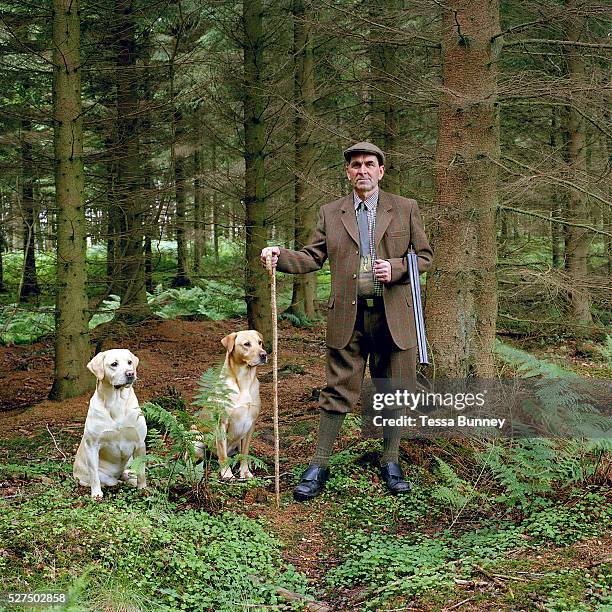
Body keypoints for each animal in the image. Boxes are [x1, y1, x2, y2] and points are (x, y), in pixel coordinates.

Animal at [72, 350, 146, 498]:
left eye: (130, 362)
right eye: (114, 364)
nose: (130, 373)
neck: (117, 402)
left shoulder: (140, 442)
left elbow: (141, 471)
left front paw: (143, 489)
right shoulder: (92, 445)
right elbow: (94, 474)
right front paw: (96, 494)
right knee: (110, 481)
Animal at [194, 332, 266, 480]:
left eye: (260, 342)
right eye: (246, 344)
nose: (264, 354)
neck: (245, 381)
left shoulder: (251, 425)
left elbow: (245, 453)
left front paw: (245, 472)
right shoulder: (221, 423)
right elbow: (223, 455)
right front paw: (227, 473)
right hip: (196, 436)